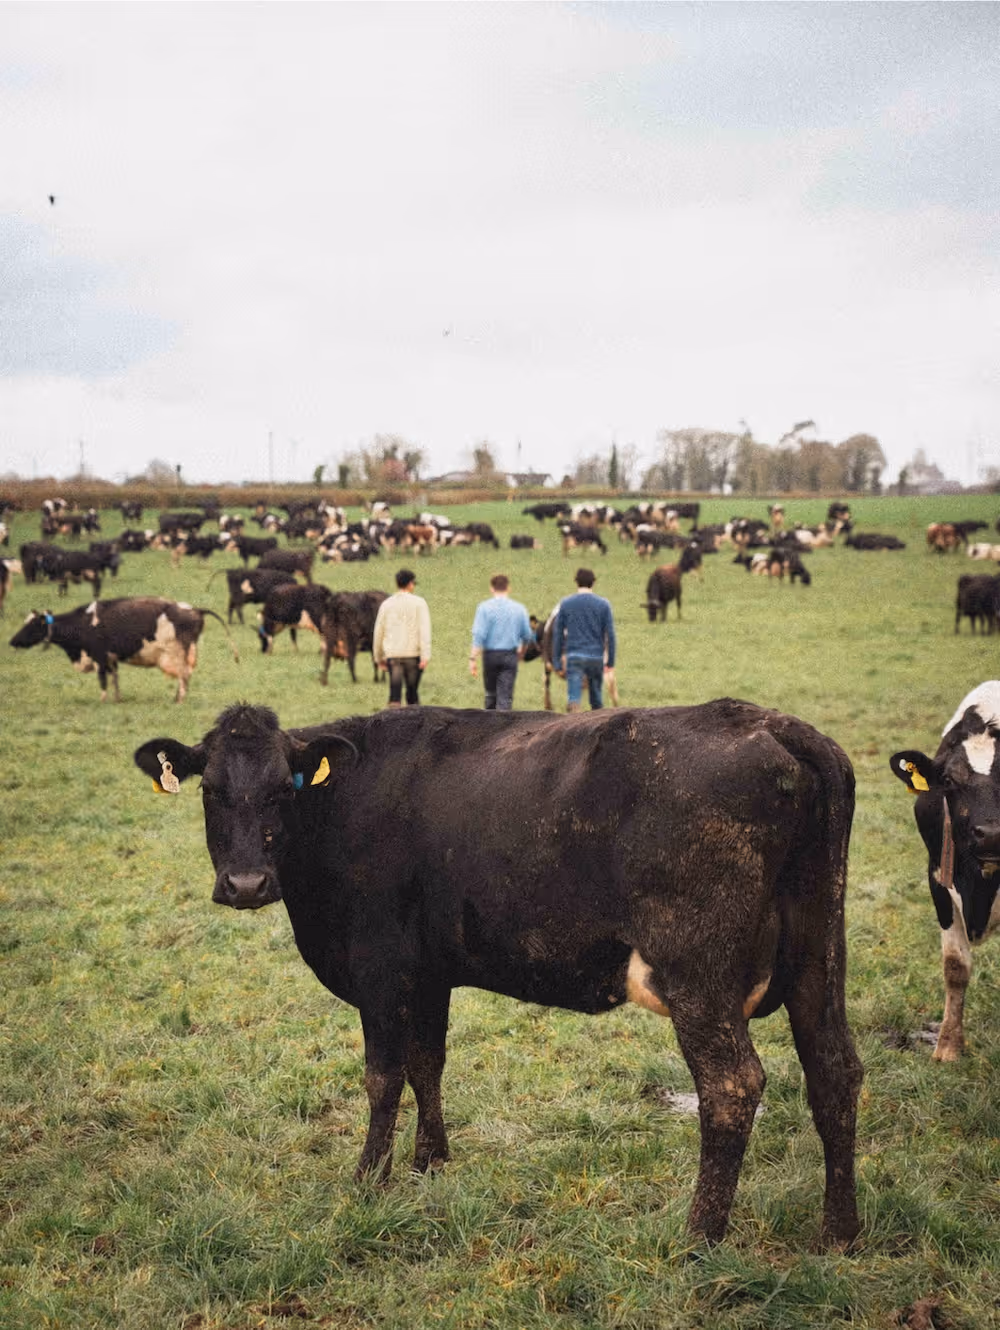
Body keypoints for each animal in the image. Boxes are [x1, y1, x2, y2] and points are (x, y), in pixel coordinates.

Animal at [10, 597, 237, 701]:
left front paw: (102, 701)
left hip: (177, 653)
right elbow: (115, 679)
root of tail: (193, 609)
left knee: (184, 676)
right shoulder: (111, 659)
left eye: (31, 625)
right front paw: (118, 699)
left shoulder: (99, 657)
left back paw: (178, 700)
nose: (12, 641)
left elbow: (103, 681)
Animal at [133, 699, 861, 1247]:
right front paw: (429, 1164)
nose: (246, 884)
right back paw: (839, 1233)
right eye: (211, 791)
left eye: (281, 789)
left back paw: (698, 1237)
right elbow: (427, 1064)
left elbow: (382, 1078)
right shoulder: (428, 974)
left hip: (698, 974)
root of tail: (767, 721)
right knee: (835, 1070)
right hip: (819, 956)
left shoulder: (380, 970)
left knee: (731, 1085)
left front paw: (369, 1179)